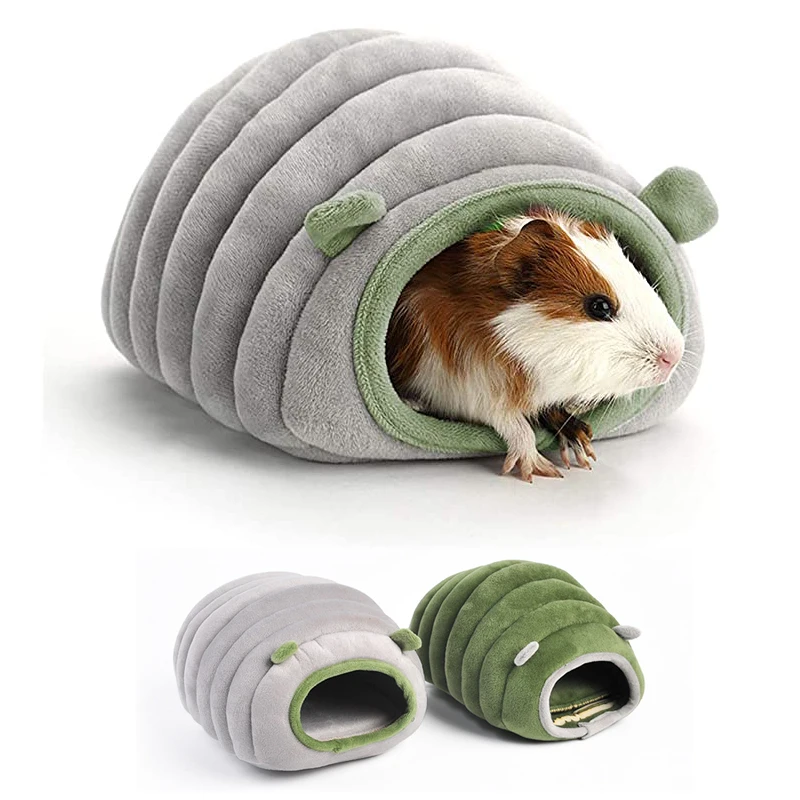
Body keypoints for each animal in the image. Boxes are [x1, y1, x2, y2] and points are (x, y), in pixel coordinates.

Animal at [386, 209, 685, 482]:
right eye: (599, 306)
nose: (673, 356)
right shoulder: (463, 389)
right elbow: (511, 422)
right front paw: (539, 470)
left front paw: (580, 447)